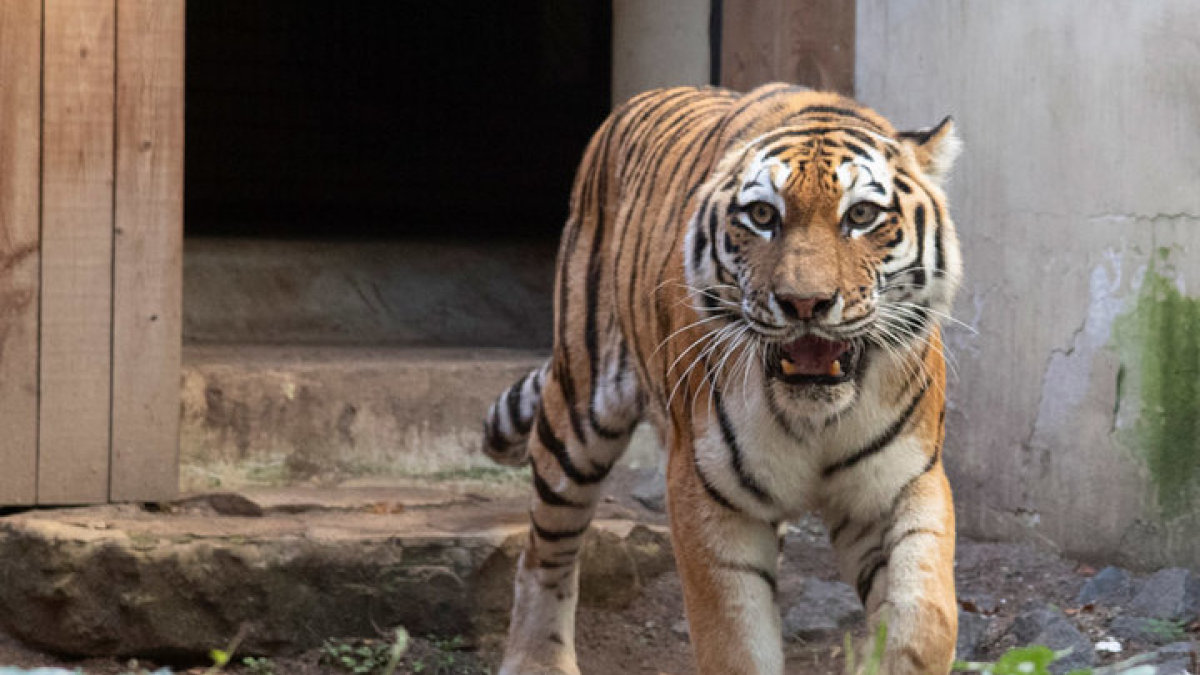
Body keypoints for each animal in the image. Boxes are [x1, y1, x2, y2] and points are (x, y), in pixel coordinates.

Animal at [482, 84, 960, 672]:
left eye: (863, 214)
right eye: (763, 215)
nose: (805, 303)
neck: (816, 418)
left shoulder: (903, 483)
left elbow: (923, 618)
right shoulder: (709, 494)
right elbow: (735, 641)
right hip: (578, 409)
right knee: (545, 550)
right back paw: (536, 659)